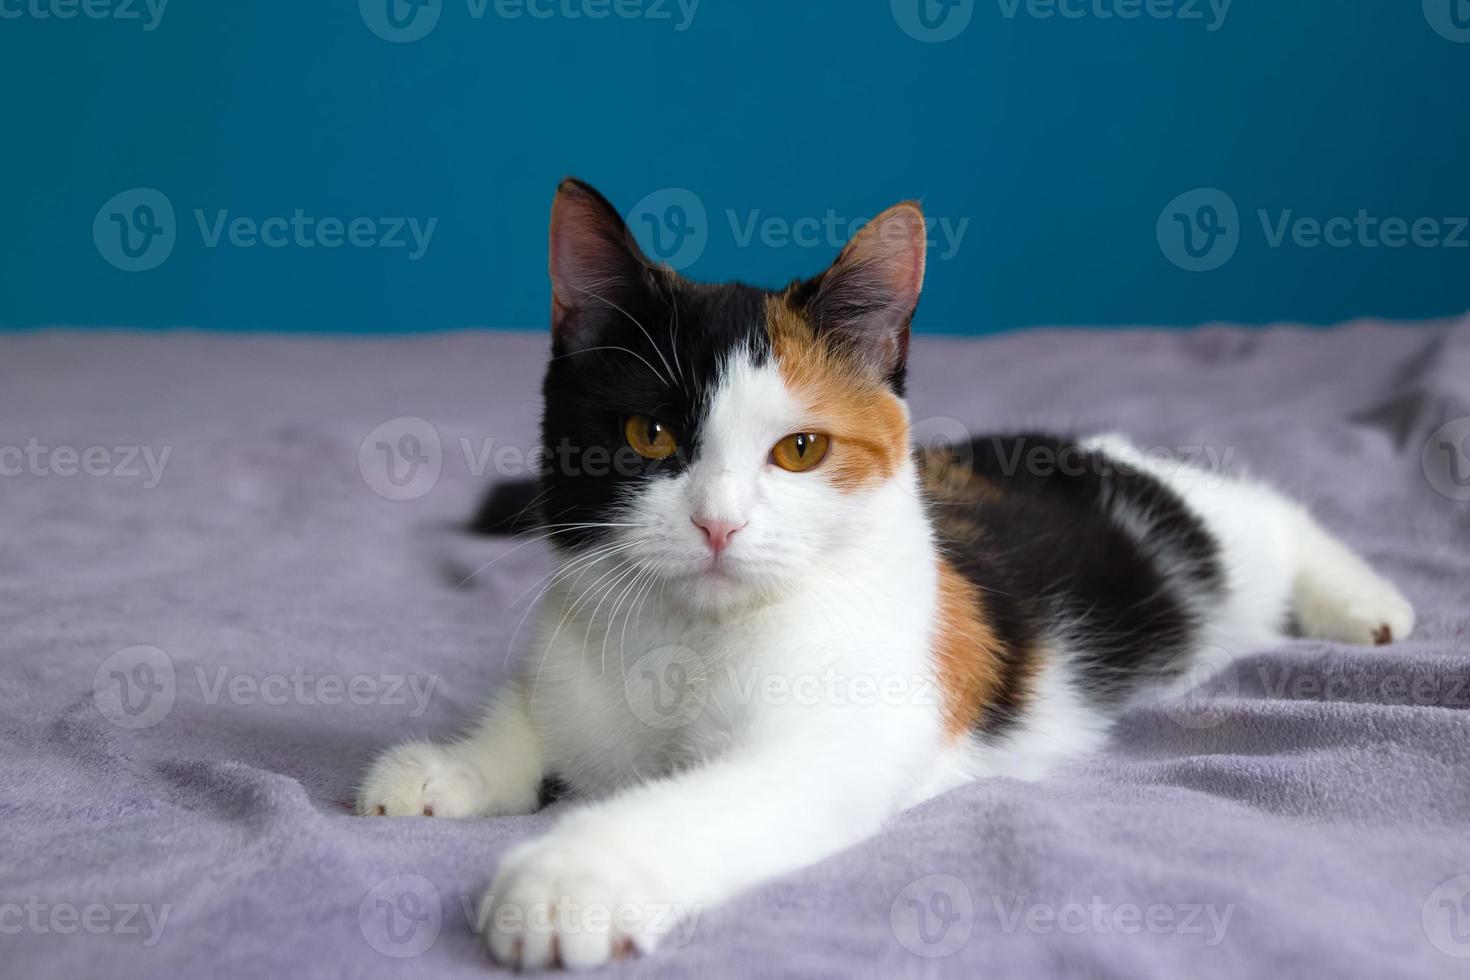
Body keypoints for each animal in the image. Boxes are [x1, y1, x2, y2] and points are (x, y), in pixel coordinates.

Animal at [352, 178, 1411, 975]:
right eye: (649, 433)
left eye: (801, 450)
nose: (718, 523)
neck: (687, 635)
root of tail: (1064, 448)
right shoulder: (582, 635)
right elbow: (537, 712)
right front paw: (448, 767)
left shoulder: (838, 736)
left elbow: (710, 799)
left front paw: (570, 879)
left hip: (1197, 554)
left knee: (1264, 513)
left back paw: (1366, 601)